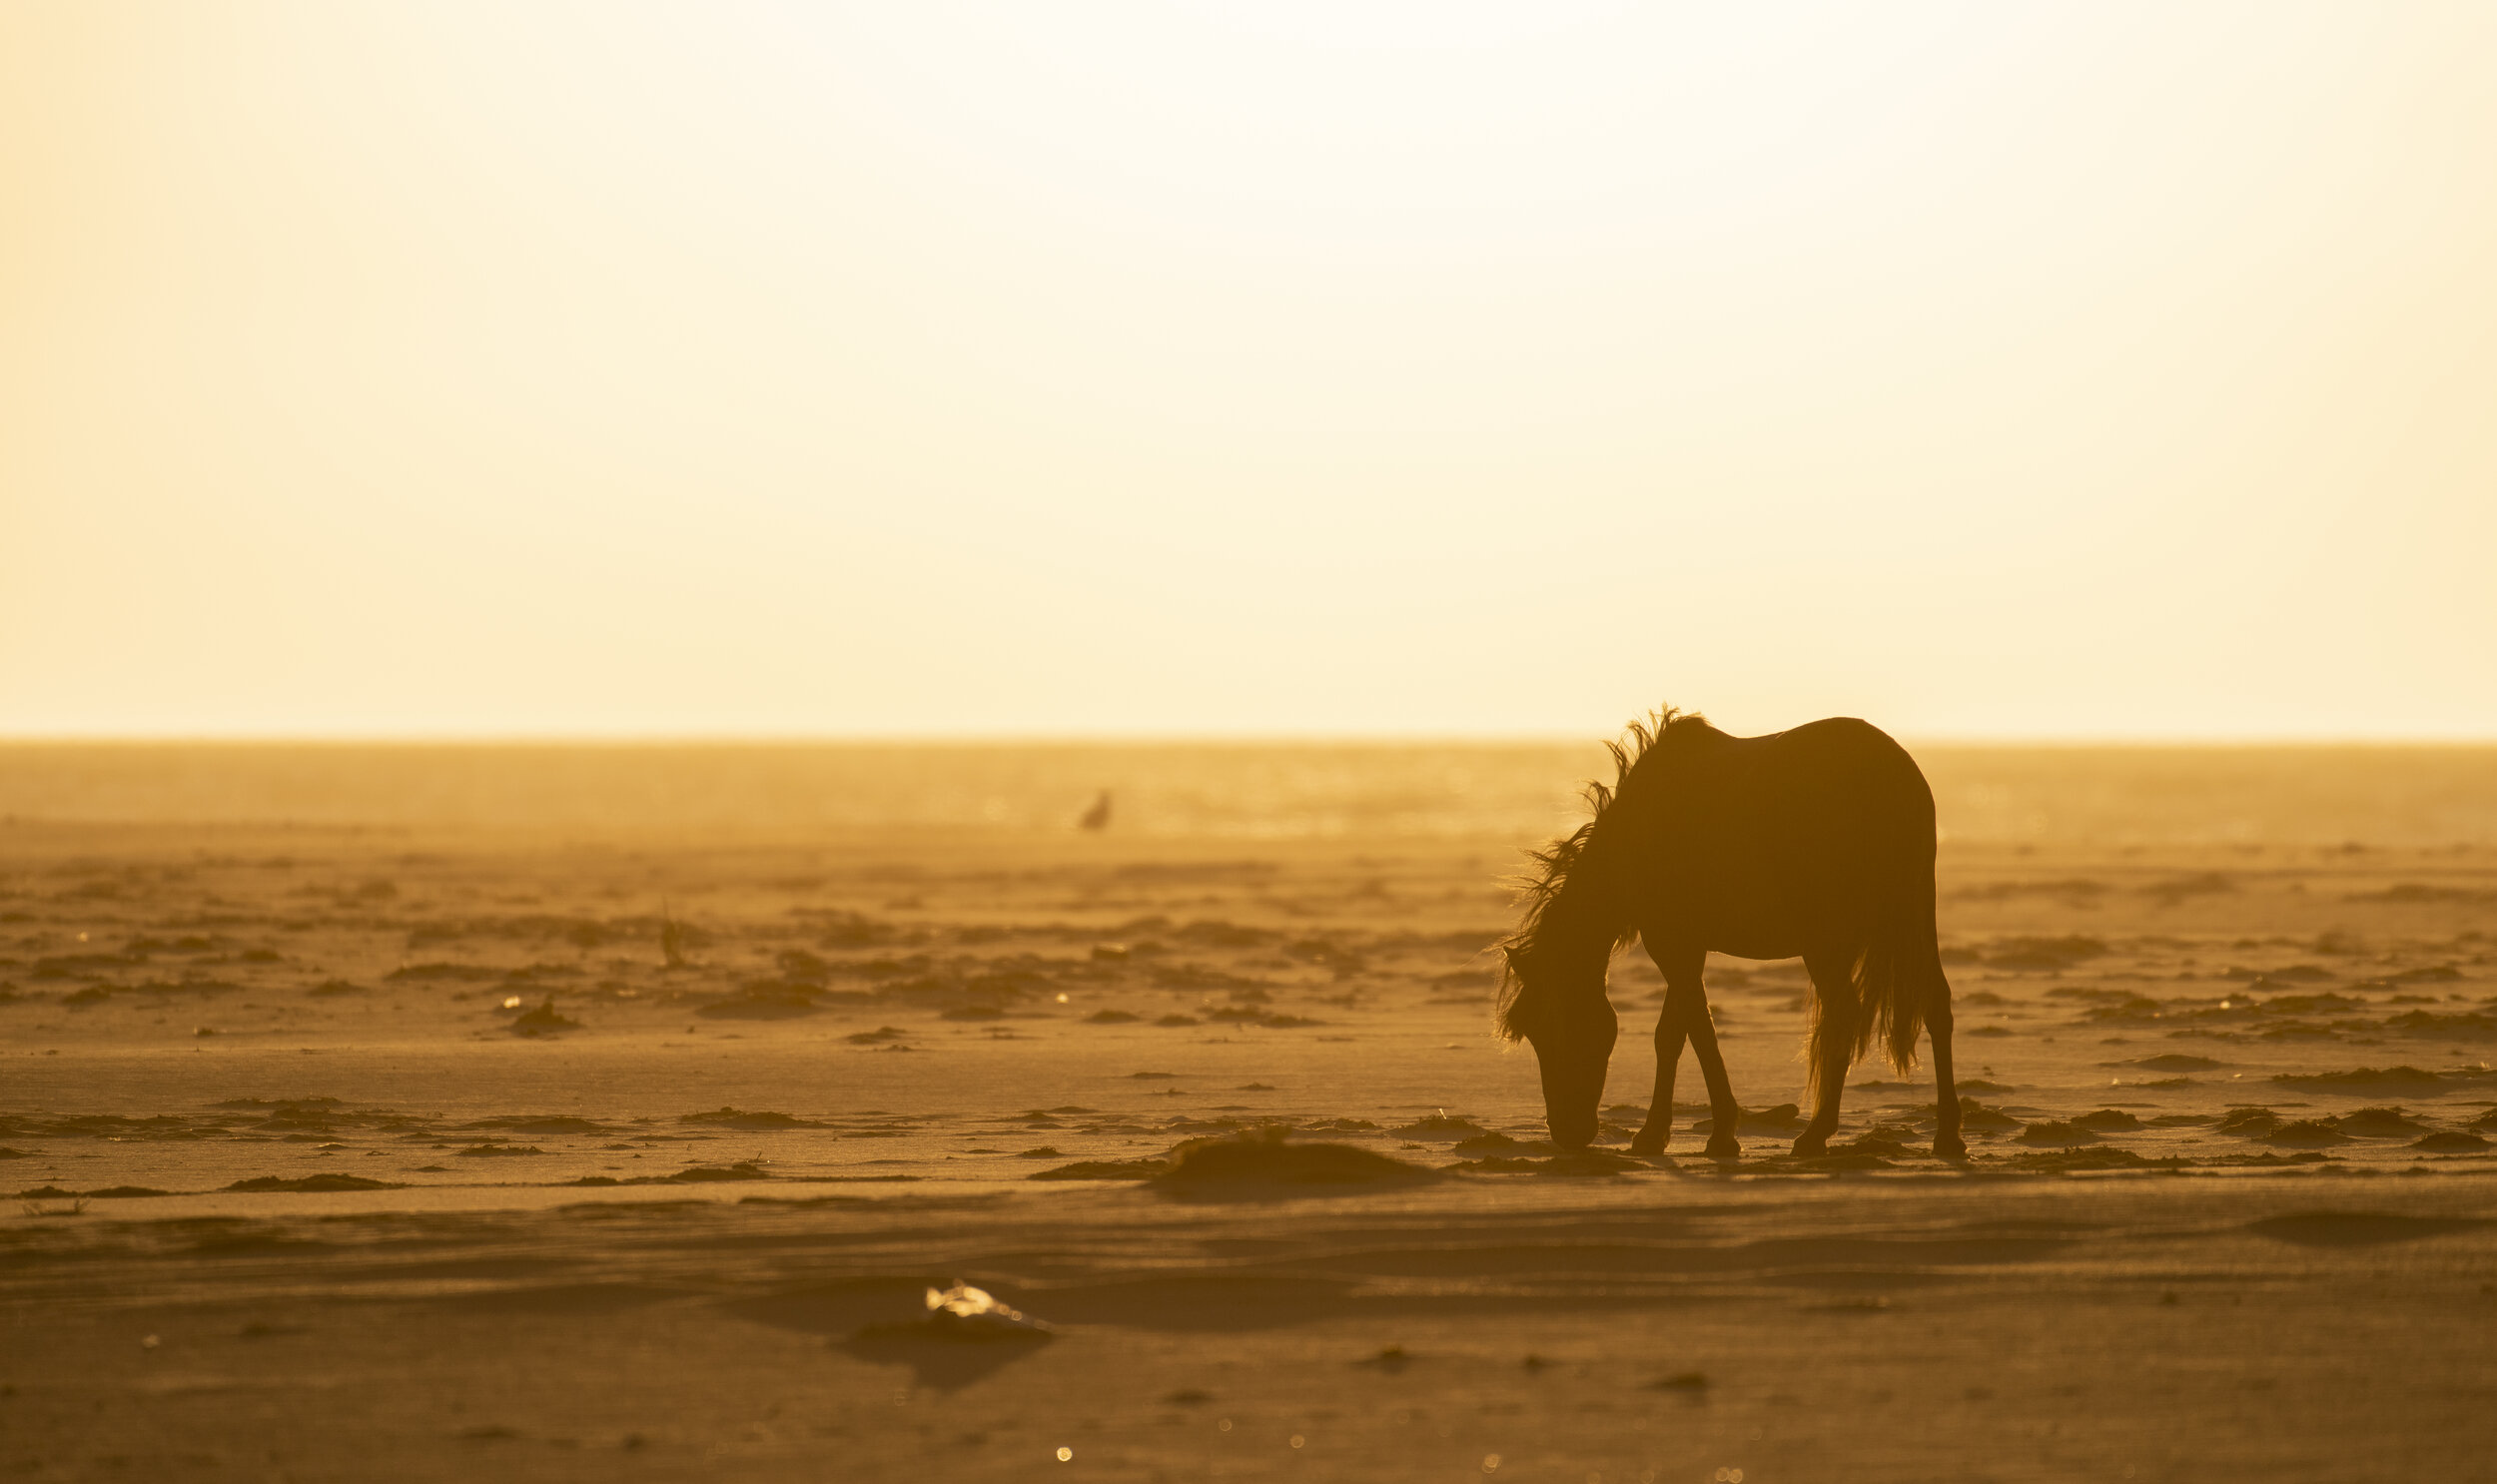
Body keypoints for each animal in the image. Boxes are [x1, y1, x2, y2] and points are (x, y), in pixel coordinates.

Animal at [1494, 708, 1964, 1160]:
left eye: (1552, 1024)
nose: (1567, 1134)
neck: (1635, 837)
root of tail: (1892, 774)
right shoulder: (1686, 946)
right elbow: (1673, 1034)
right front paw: (1656, 1134)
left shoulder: (1671, 944)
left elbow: (1696, 1032)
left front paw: (1718, 1134)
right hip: (1914, 919)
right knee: (1935, 1004)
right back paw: (1947, 1135)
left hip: (1826, 944)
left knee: (1846, 1013)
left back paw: (1815, 1135)